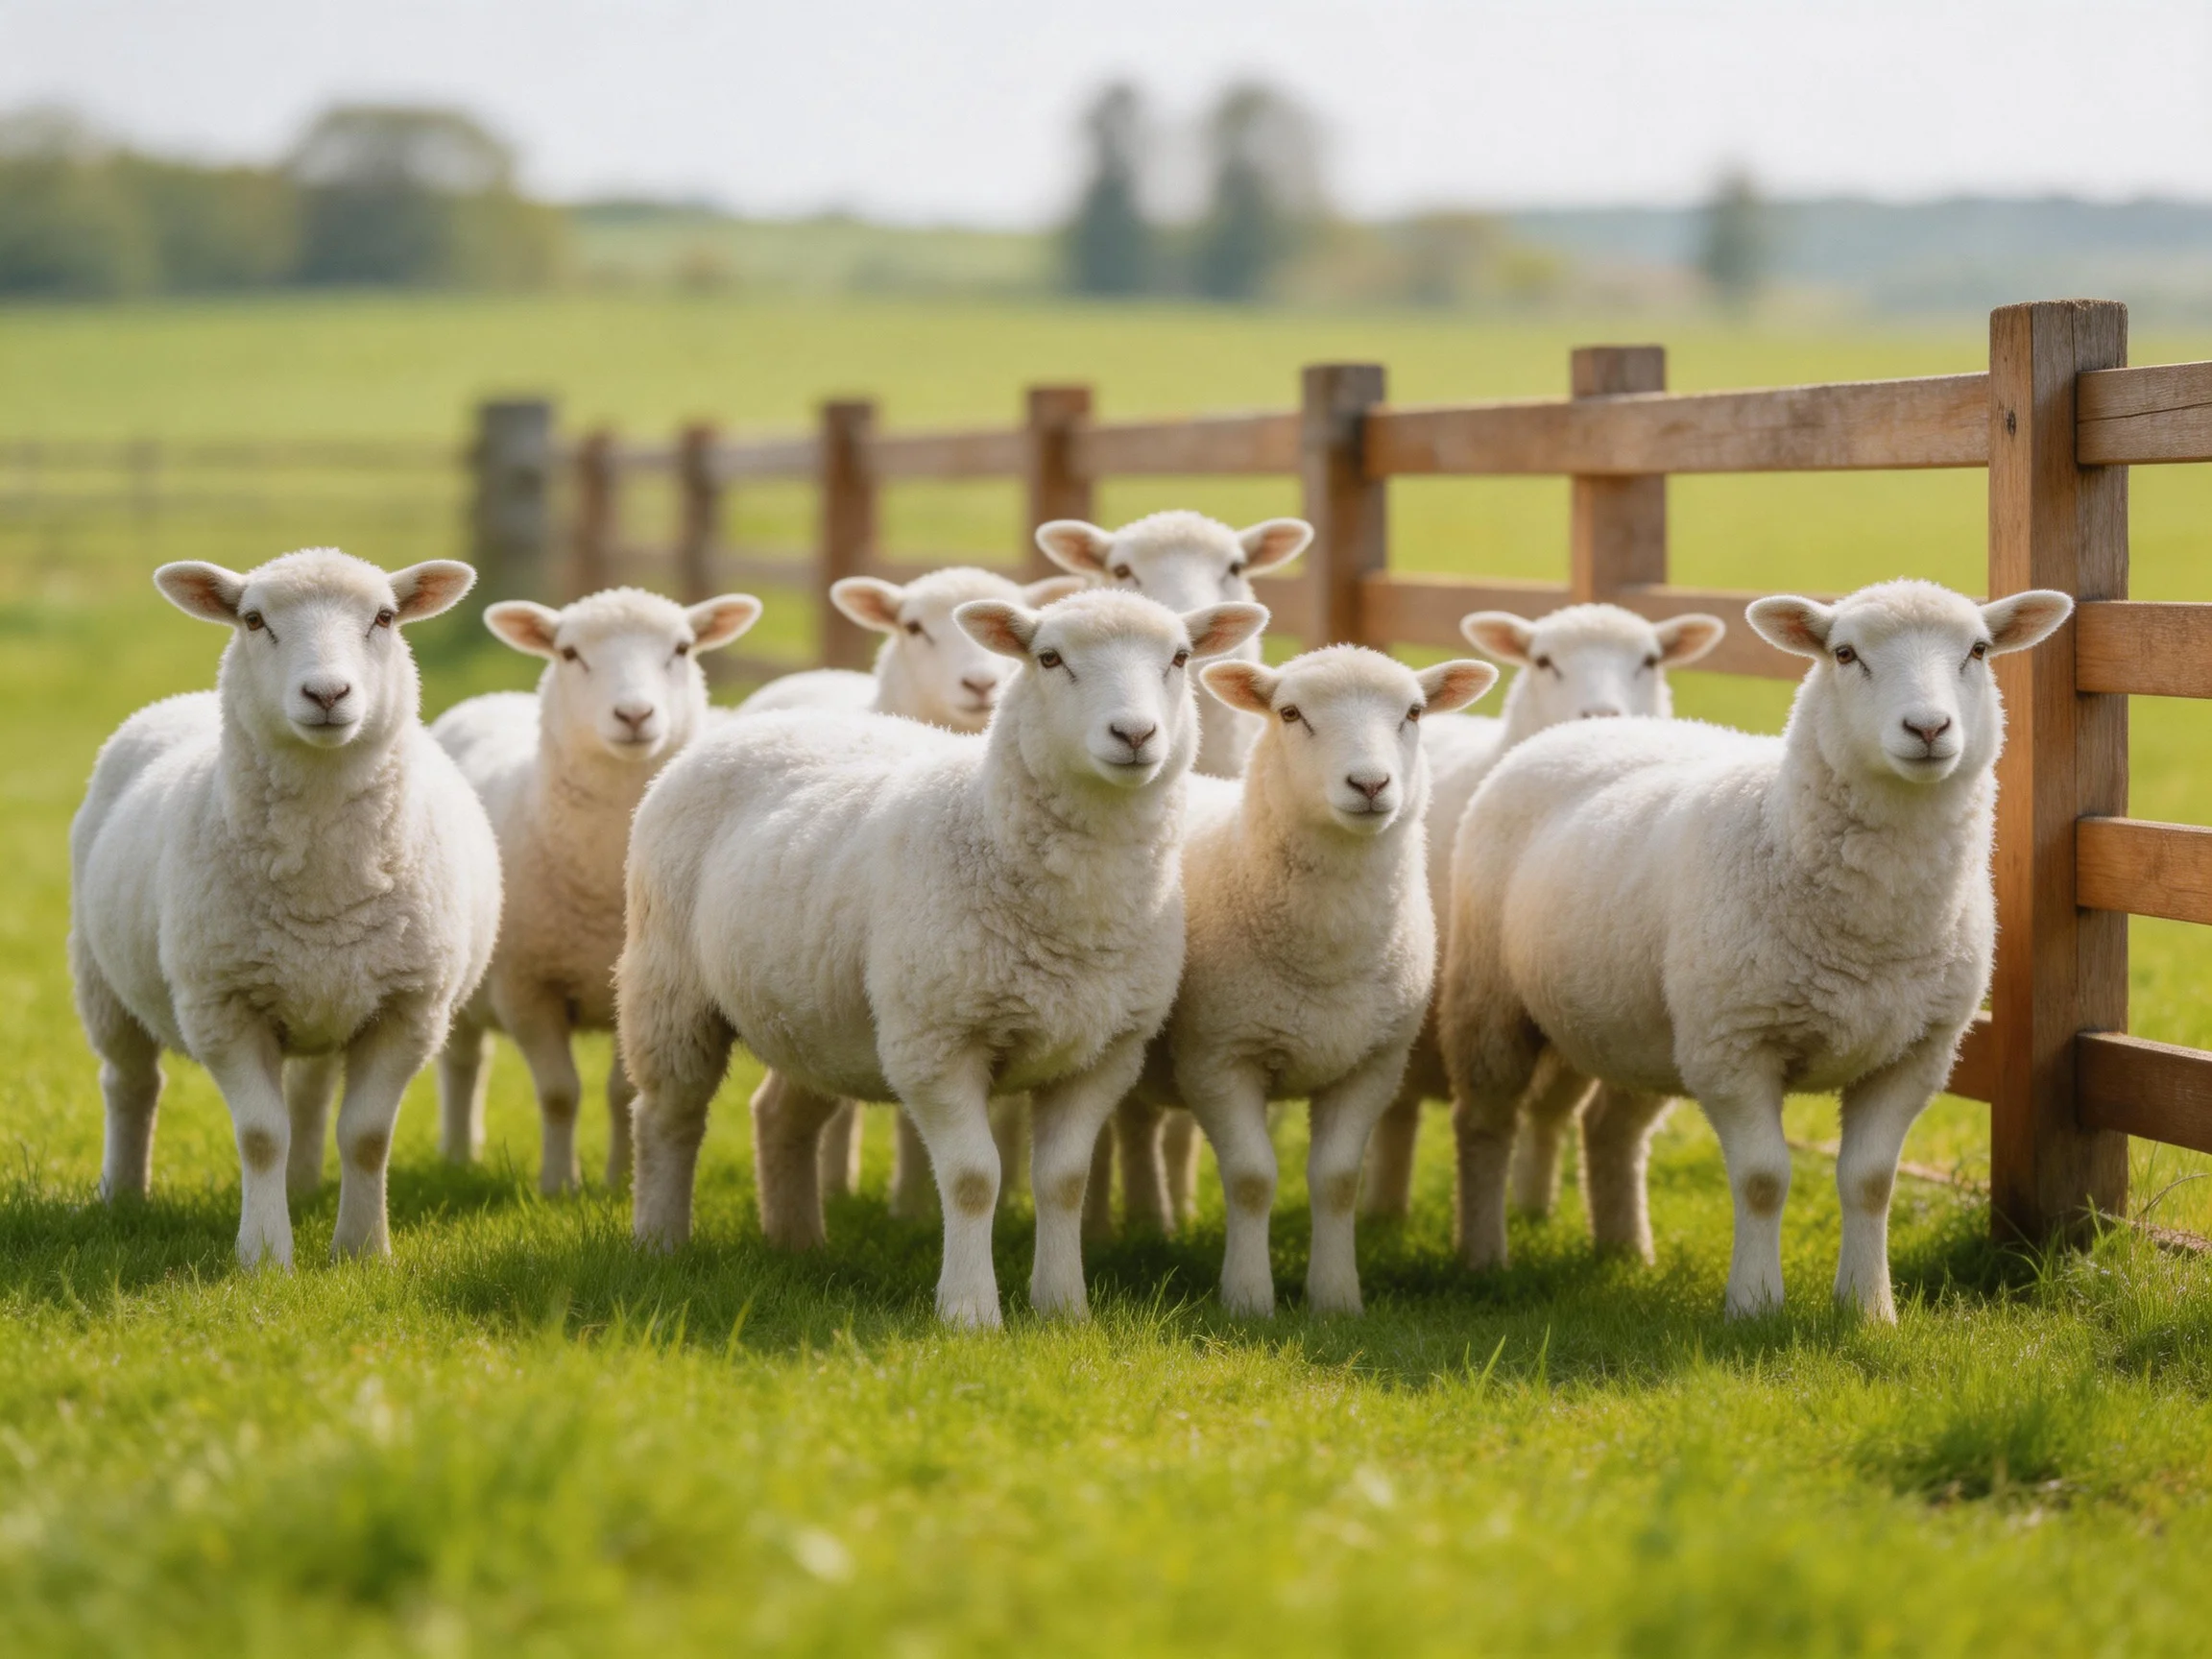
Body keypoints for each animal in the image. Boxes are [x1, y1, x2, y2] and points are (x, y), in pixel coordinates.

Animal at [68, 548, 498, 1268]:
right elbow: (262, 1135)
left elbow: (366, 1135)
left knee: (311, 1092)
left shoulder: (409, 1008)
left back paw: (302, 1188)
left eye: (385, 617)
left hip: (325, 992)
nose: (326, 695)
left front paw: (361, 1250)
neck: (322, 883)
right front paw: (266, 1257)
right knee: (130, 1085)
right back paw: (124, 1195)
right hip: (102, 982)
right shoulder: (222, 1004)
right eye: (253, 619)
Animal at [428, 586, 764, 1194]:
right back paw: (460, 1154)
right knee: (463, 1063)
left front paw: (618, 1181)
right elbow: (560, 1093)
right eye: (569, 653)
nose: (634, 715)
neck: (600, 887)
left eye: (682, 648)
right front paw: (559, 1185)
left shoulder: (627, 991)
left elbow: (620, 1092)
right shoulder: (525, 989)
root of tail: (490, 696)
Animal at [1125, 646, 1497, 1315]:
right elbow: (1251, 1178)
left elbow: (1338, 1182)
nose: (1370, 785)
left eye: (1414, 712)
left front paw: (1336, 1298)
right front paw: (1248, 1299)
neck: (1328, 961)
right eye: (1290, 713)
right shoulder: (1219, 1056)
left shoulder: (1372, 1064)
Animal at [1359, 603, 1726, 1231]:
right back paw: (1385, 1212)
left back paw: (1535, 1207)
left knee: (1550, 1113)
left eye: (1650, 660)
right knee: (1401, 1112)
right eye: (1543, 661)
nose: (1602, 715)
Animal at [1435, 580, 2072, 1318]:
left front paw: (1868, 1309)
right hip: (1495, 1000)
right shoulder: (1737, 1046)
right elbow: (1764, 1179)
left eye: (1978, 650)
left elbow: (1871, 1181)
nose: (1928, 729)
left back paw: (1625, 1251)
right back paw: (1483, 1257)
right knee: (1484, 1122)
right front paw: (1755, 1307)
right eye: (1844, 653)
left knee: (1609, 1128)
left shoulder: (1915, 1052)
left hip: (1646, 1026)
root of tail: (1577, 728)